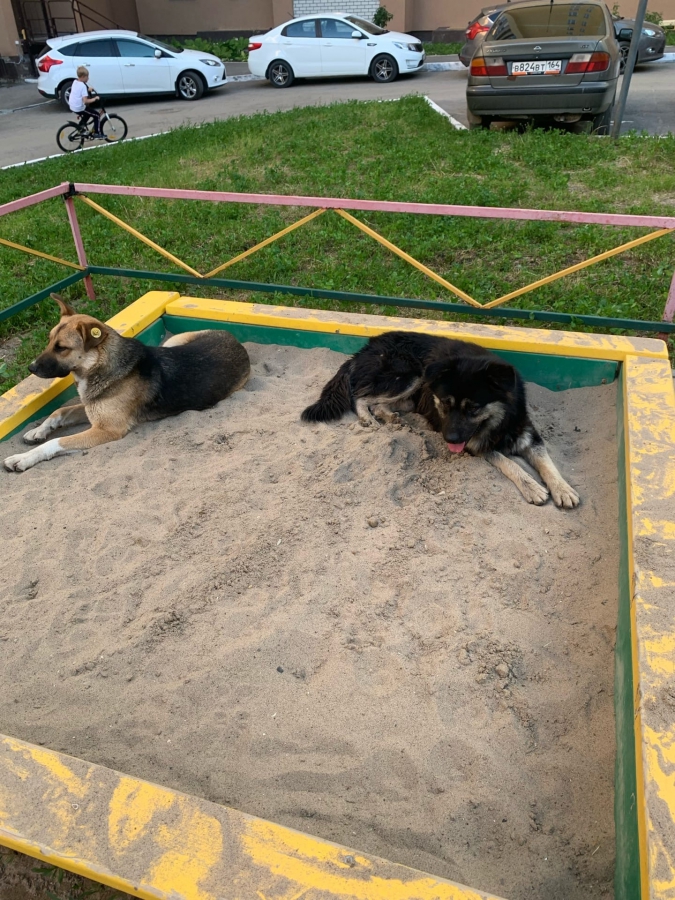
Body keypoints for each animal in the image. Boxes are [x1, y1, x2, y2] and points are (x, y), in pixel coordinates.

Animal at [4, 295, 250, 473]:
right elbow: (59, 411)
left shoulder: (107, 429)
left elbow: (56, 442)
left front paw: (22, 459)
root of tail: (236, 341)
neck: (99, 366)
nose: (31, 368)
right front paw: (37, 431)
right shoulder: (92, 408)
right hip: (172, 343)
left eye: (61, 348)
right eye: (49, 340)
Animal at [301, 331, 579, 509]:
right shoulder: (476, 445)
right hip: (409, 374)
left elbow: (547, 463)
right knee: (361, 396)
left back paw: (392, 417)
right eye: (445, 403)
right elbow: (511, 464)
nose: (449, 439)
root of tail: (364, 350)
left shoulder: (527, 432)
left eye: (474, 407)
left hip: (411, 393)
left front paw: (563, 489)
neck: (499, 423)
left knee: (378, 402)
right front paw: (532, 487)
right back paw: (368, 419)